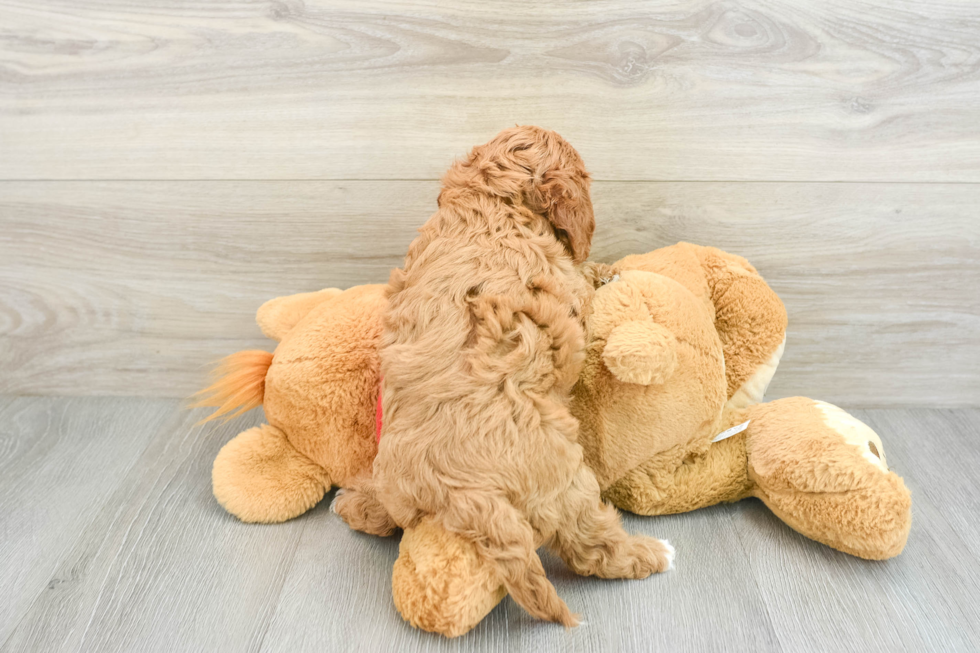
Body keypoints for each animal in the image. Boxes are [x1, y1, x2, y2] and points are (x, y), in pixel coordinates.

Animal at [336, 125, 672, 624]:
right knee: (592, 546)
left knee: (387, 514)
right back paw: (655, 554)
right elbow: (582, 280)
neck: (491, 201)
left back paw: (355, 505)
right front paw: (605, 271)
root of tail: (458, 492)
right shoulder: (568, 288)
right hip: (565, 480)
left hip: (396, 481)